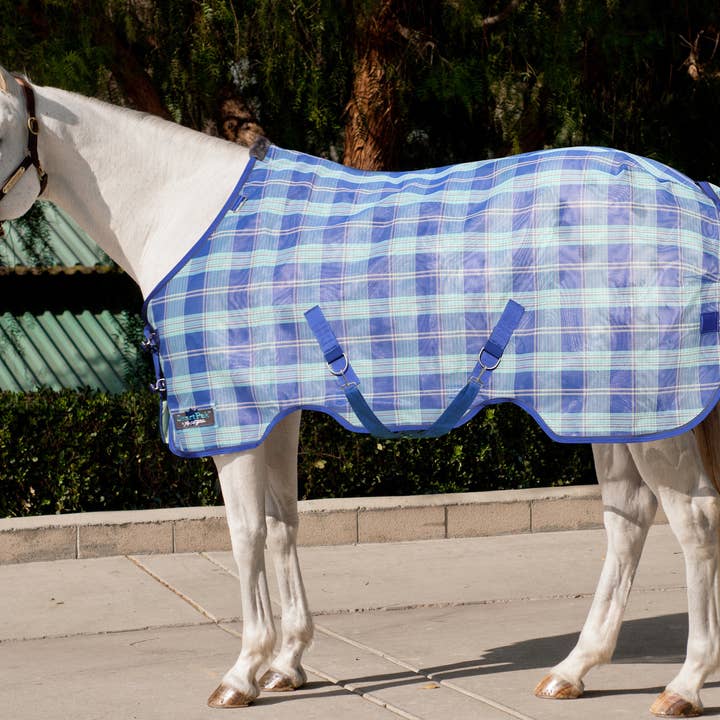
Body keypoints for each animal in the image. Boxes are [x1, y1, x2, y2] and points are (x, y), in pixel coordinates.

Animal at [1, 66, 719, 718]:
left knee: (694, 522)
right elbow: (282, 526)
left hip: (655, 416)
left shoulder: (233, 420)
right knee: (627, 521)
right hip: (608, 411)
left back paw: (682, 686)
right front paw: (287, 664)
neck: (185, 214)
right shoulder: (279, 414)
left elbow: (244, 535)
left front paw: (243, 673)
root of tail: (700, 193)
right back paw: (573, 670)